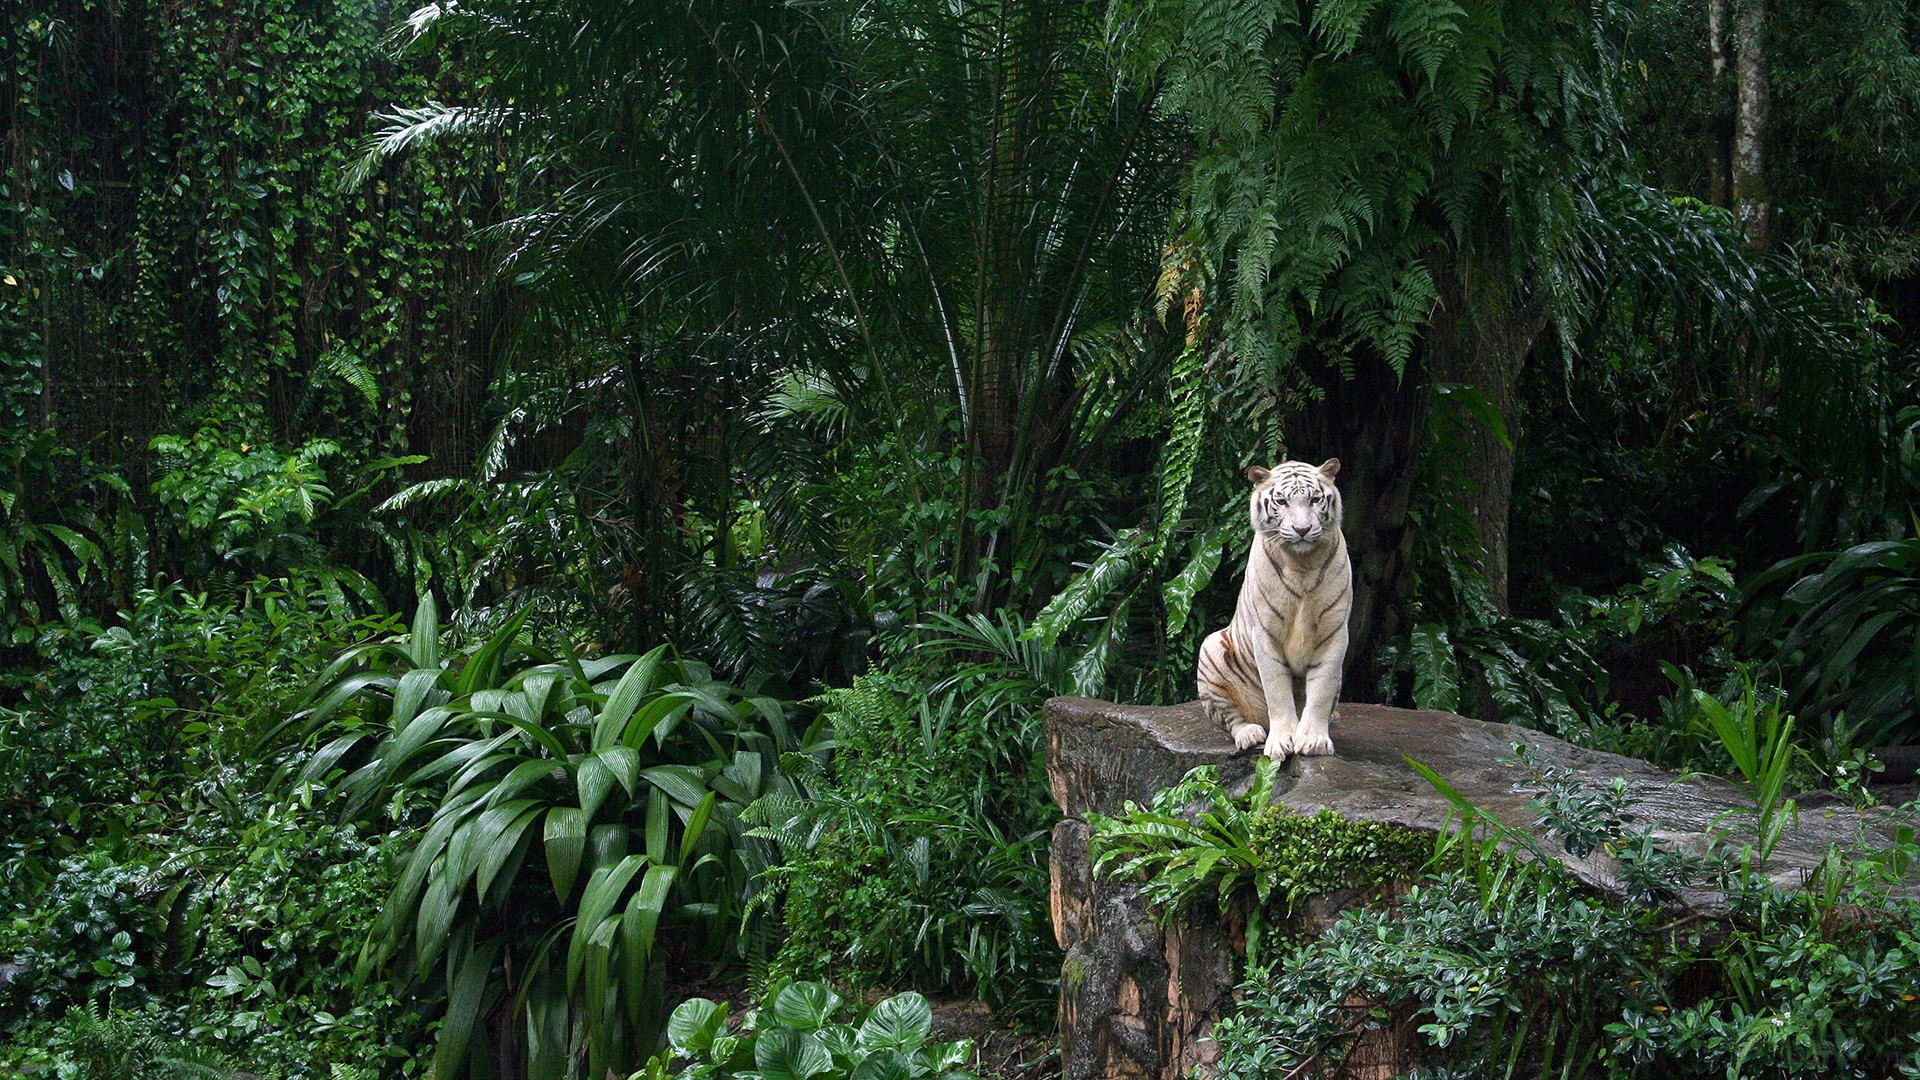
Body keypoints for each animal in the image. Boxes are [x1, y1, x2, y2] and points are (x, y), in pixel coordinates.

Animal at [1198, 455, 1351, 757]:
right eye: (1281, 502)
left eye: (1315, 499)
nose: (1302, 530)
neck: (1302, 564)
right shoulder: (1265, 634)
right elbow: (1277, 691)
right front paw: (1282, 740)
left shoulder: (1334, 632)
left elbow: (1322, 689)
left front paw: (1314, 740)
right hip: (1210, 649)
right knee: (1231, 718)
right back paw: (1250, 734)